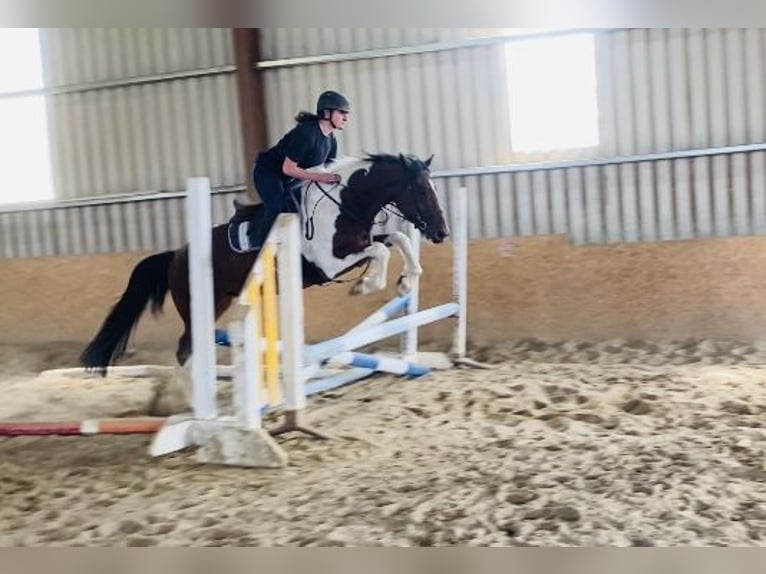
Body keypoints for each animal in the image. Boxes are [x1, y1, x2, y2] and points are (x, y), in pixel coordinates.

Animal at [79, 153, 450, 376]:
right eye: (420, 190)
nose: (441, 232)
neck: (345, 203)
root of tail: (177, 254)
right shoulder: (330, 263)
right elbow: (381, 252)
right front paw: (366, 285)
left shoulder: (361, 242)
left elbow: (396, 240)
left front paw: (406, 281)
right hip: (200, 305)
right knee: (186, 349)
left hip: (221, 300)